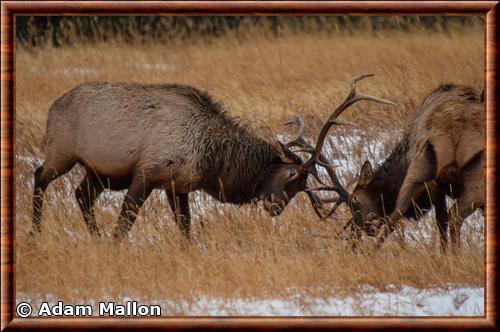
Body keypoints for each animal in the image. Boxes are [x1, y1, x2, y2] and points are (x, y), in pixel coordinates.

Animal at [32, 76, 394, 239]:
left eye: (303, 186)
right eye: (292, 176)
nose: (276, 206)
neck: (211, 160)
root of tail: (52, 107)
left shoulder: (176, 185)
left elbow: (185, 227)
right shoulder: (147, 172)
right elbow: (125, 223)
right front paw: (113, 246)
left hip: (98, 170)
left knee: (81, 194)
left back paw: (92, 237)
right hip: (61, 151)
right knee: (39, 176)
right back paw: (35, 233)